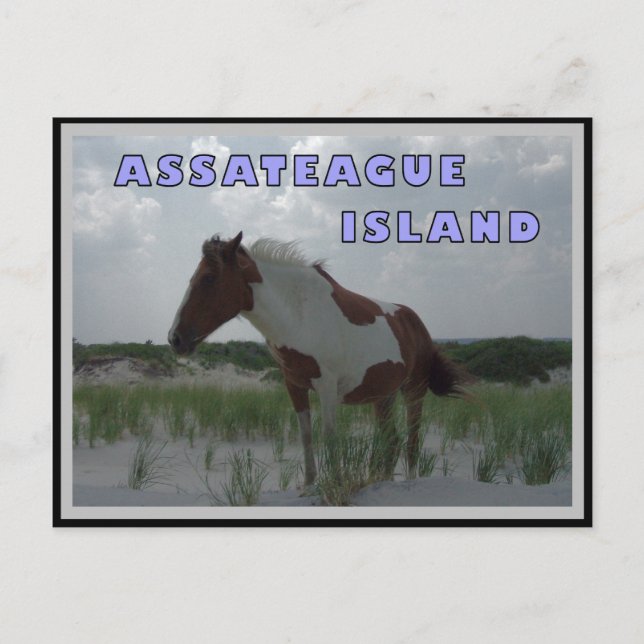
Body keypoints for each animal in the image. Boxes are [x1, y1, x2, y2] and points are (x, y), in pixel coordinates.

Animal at [168, 231, 468, 485]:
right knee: (391, 441)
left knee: (412, 441)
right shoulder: (295, 386)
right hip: (384, 395)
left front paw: (334, 483)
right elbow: (306, 435)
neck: (299, 315)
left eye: (209, 278)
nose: (175, 338)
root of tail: (416, 322)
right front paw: (309, 484)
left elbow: (329, 436)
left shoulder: (327, 387)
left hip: (414, 390)